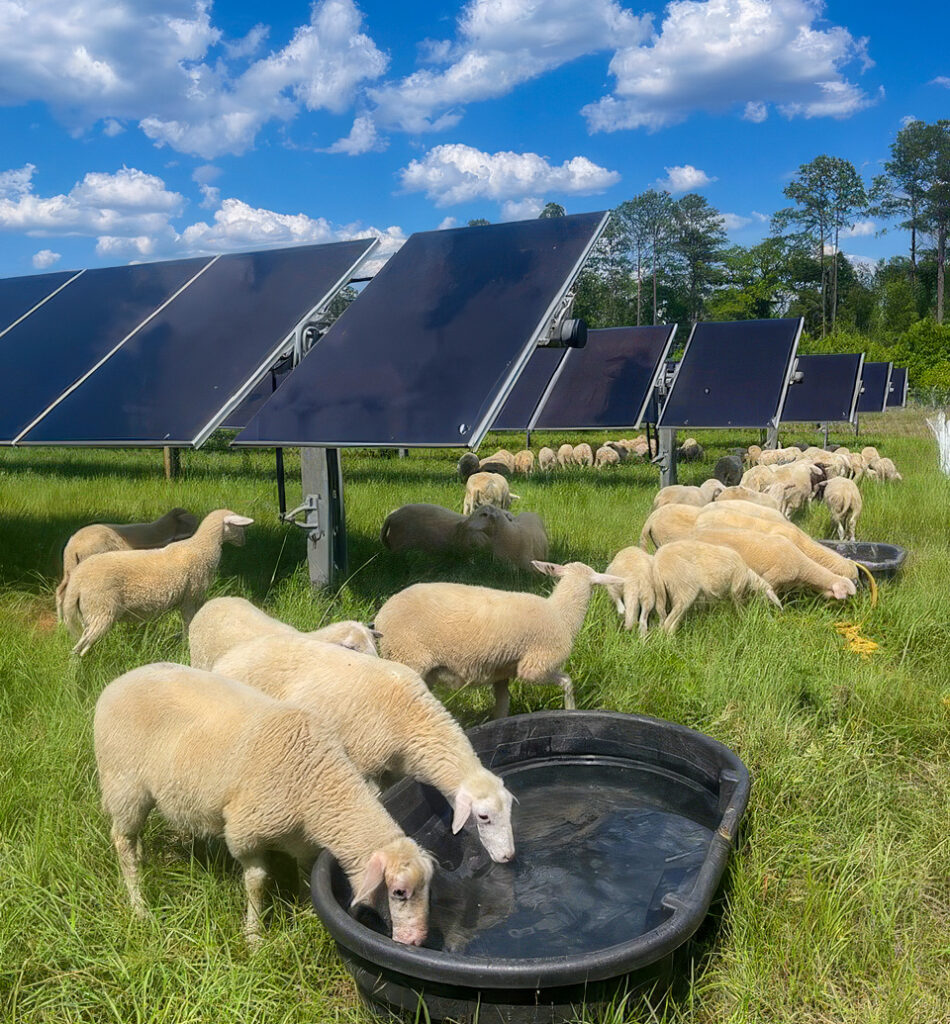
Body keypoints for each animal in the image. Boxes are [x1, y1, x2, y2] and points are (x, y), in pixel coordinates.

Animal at [95, 663, 434, 946]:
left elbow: (306, 872)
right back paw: (139, 905)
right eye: (399, 893)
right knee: (121, 840)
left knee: (132, 837)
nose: (417, 941)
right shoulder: (245, 832)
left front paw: (306, 914)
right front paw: (254, 936)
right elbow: (257, 881)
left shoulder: (302, 840)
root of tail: (120, 681)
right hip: (123, 783)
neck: (317, 781)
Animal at [210, 637, 515, 863]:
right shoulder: (366, 765)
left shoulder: (393, 768)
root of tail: (224, 660)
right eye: (484, 817)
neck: (414, 719)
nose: (508, 857)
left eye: (511, 808)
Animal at [374, 560, 624, 719]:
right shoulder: (535, 666)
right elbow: (567, 681)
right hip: (408, 656)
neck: (560, 614)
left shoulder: (502, 673)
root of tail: (381, 617)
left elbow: (503, 705)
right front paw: (571, 709)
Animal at [652, 540, 782, 633]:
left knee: (665, 621)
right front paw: (745, 619)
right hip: (684, 588)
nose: (773, 619)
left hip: (667, 595)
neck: (748, 577)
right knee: (669, 623)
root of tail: (658, 566)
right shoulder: (737, 588)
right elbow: (739, 606)